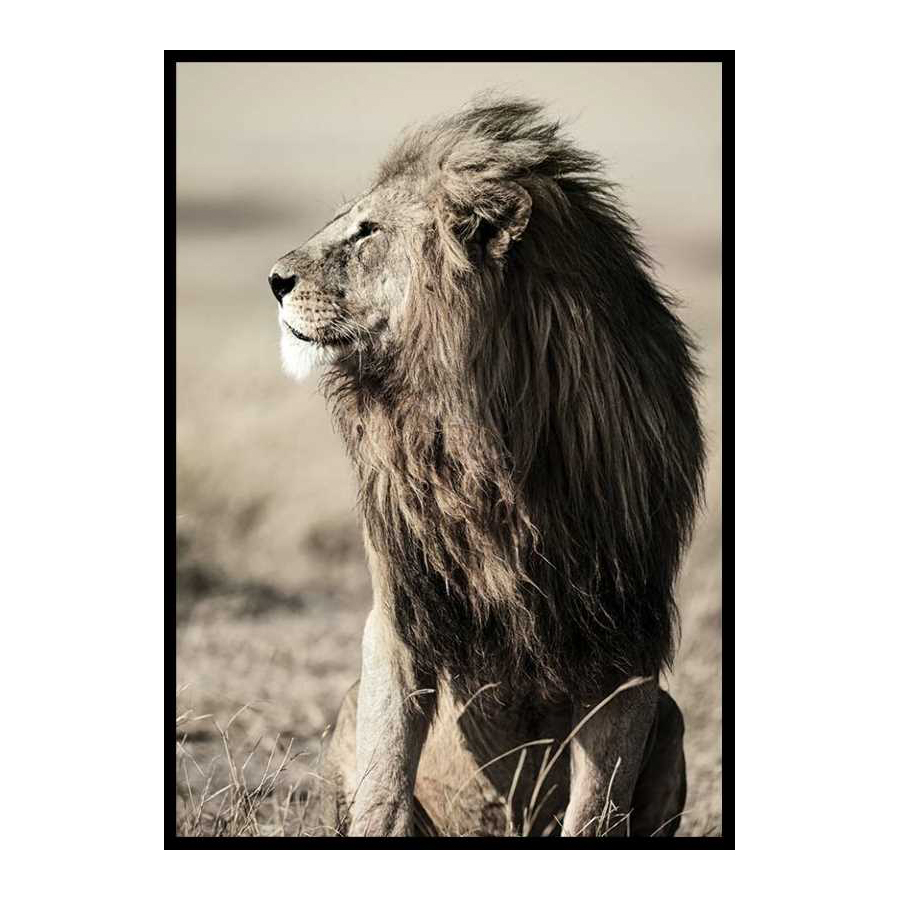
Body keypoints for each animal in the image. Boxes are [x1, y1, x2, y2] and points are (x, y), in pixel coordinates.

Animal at [269, 98, 705, 837]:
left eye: (367, 231)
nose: (274, 280)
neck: (480, 437)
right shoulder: (400, 608)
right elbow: (385, 778)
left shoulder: (629, 635)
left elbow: (596, 808)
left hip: (671, 716)